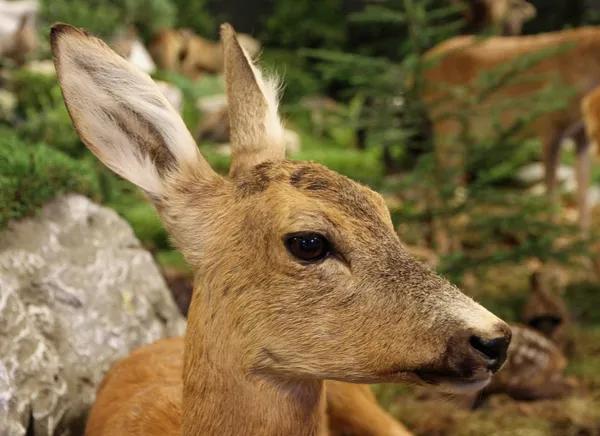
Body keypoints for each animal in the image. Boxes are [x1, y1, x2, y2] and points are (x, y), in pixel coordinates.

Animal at [420, 26, 600, 252]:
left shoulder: (581, 137)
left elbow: (583, 200)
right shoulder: (548, 127)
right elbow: (551, 197)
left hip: (460, 134)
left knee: (443, 180)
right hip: (446, 122)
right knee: (438, 183)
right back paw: (444, 251)